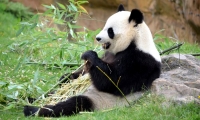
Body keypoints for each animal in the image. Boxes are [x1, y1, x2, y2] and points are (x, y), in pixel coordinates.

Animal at [23, 4, 161, 117]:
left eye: (110, 31)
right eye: (104, 26)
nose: (98, 38)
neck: (135, 41)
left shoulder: (140, 61)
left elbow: (113, 82)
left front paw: (89, 55)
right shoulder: (109, 53)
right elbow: (82, 73)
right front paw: (66, 77)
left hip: (99, 101)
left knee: (75, 103)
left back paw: (34, 110)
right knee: (51, 93)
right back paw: (30, 100)